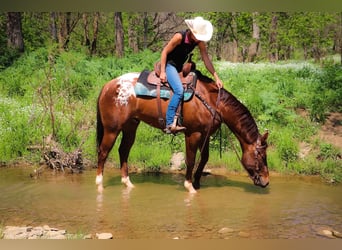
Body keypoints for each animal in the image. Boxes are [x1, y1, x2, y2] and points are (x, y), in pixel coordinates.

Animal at [95, 70, 268, 193]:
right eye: (260, 155)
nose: (266, 181)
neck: (211, 101)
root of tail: (108, 86)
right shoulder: (193, 134)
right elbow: (190, 159)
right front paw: (189, 186)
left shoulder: (205, 135)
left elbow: (204, 158)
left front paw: (197, 182)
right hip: (112, 129)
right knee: (103, 152)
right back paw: (99, 185)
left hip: (130, 126)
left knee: (123, 150)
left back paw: (128, 183)